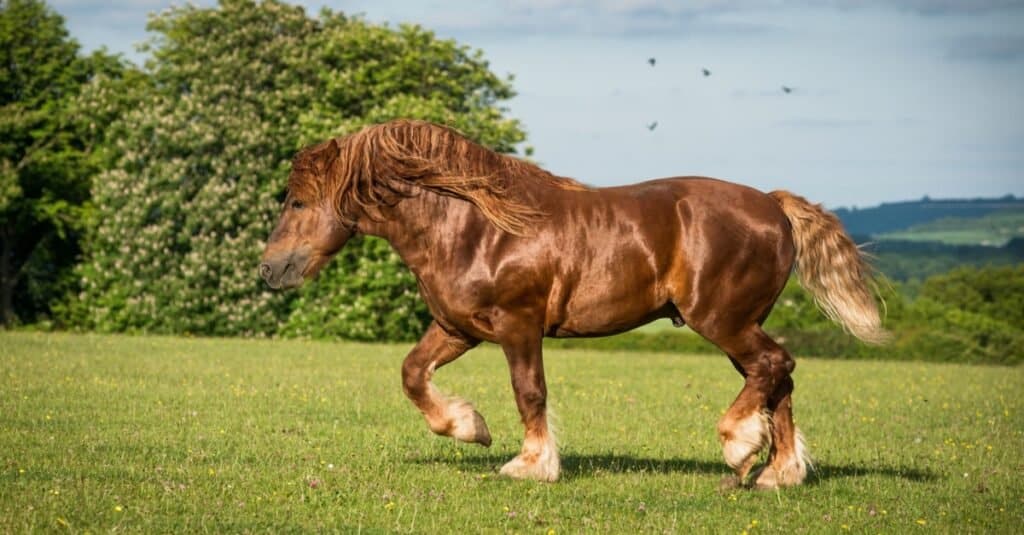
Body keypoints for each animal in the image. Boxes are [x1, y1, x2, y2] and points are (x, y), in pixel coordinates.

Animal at [258, 119, 888, 487]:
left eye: (296, 202)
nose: (269, 269)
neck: (473, 225)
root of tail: (774, 206)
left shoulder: (518, 326)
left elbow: (530, 392)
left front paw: (530, 464)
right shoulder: (458, 328)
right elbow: (413, 374)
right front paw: (469, 427)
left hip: (722, 320)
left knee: (775, 367)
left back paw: (740, 449)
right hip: (740, 324)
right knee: (777, 378)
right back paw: (777, 473)